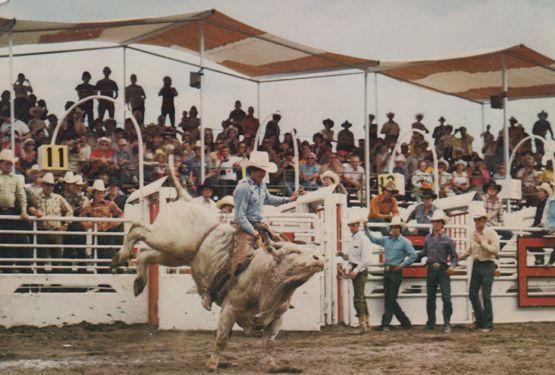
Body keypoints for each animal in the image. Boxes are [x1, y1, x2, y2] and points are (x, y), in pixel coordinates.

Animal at [110, 157, 324, 372]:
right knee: (138, 229)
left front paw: (274, 365)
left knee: (146, 254)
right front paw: (212, 364)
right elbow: (222, 338)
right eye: (293, 252)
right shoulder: (230, 308)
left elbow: (269, 342)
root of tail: (188, 201)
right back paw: (120, 257)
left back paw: (139, 282)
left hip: (175, 254)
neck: (267, 277)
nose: (319, 259)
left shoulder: (277, 318)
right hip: (170, 240)